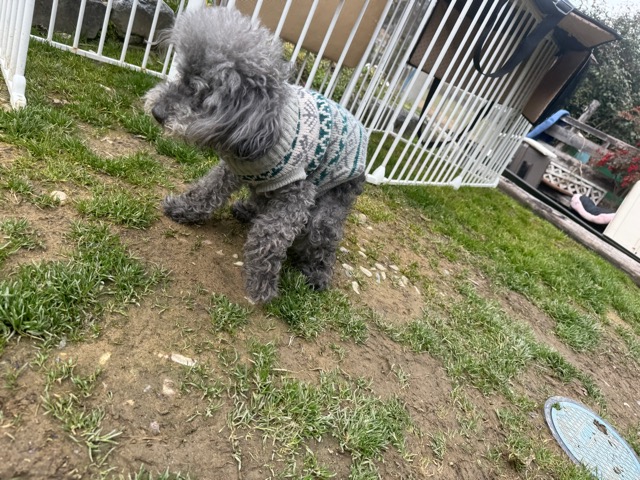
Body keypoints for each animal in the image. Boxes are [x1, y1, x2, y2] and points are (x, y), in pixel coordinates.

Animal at [145, 6, 368, 303]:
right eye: (181, 75)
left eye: (201, 90)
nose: (157, 113)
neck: (262, 127)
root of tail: (364, 132)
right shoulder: (233, 167)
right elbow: (206, 189)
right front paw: (183, 208)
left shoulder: (297, 192)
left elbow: (270, 234)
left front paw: (262, 283)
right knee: (260, 200)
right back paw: (246, 210)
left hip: (330, 207)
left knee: (323, 240)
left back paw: (317, 274)